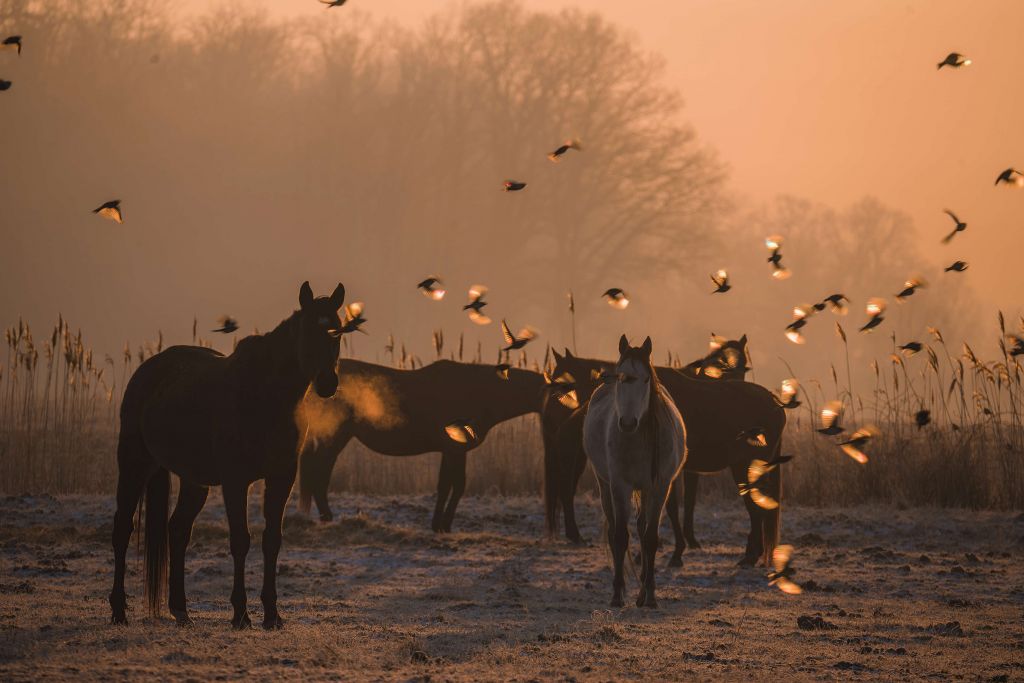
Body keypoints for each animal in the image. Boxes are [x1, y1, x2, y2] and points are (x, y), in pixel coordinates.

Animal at [109, 281, 346, 629]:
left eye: (338, 331)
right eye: (308, 330)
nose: (328, 384)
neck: (265, 396)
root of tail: (147, 371)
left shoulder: (282, 477)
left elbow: (272, 540)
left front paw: (272, 615)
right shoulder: (236, 481)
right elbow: (240, 540)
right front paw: (241, 614)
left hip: (193, 481)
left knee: (177, 530)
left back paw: (181, 610)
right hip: (134, 465)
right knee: (123, 529)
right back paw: (118, 610)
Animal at [296, 359, 547, 531]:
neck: (479, 393)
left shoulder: (454, 450)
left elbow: (452, 485)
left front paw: (441, 524)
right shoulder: (453, 448)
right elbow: (451, 485)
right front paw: (441, 525)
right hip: (334, 434)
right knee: (318, 471)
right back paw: (327, 516)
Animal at [547, 346, 784, 567]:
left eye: (561, 381)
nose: (553, 417)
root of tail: (776, 404)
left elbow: (669, 509)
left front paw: (674, 553)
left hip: (744, 467)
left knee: (756, 509)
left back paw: (750, 556)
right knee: (756, 509)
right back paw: (752, 555)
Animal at [584, 335, 686, 608]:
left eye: (646, 379)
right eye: (621, 377)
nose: (628, 423)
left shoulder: (660, 487)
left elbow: (650, 538)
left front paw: (649, 594)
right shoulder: (620, 486)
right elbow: (620, 537)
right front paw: (617, 594)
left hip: (647, 490)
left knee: (642, 529)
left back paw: (641, 589)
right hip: (605, 485)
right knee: (613, 532)